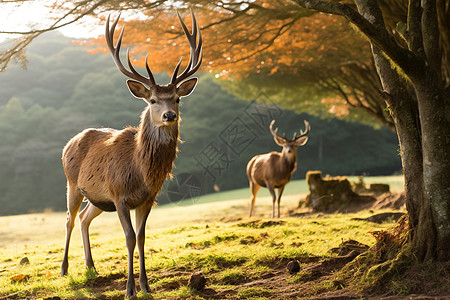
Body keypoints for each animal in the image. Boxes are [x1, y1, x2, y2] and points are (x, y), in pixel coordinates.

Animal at [59, 10, 202, 296]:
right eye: (153, 100)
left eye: (177, 99)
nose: (169, 115)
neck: (140, 171)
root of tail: (68, 143)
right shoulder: (120, 196)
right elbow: (129, 237)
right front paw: (129, 289)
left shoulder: (147, 199)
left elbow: (142, 237)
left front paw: (146, 285)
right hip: (72, 183)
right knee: (69, 218)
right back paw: (65, 269)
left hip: (97, 198)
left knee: (83, 218)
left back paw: (91, 266)